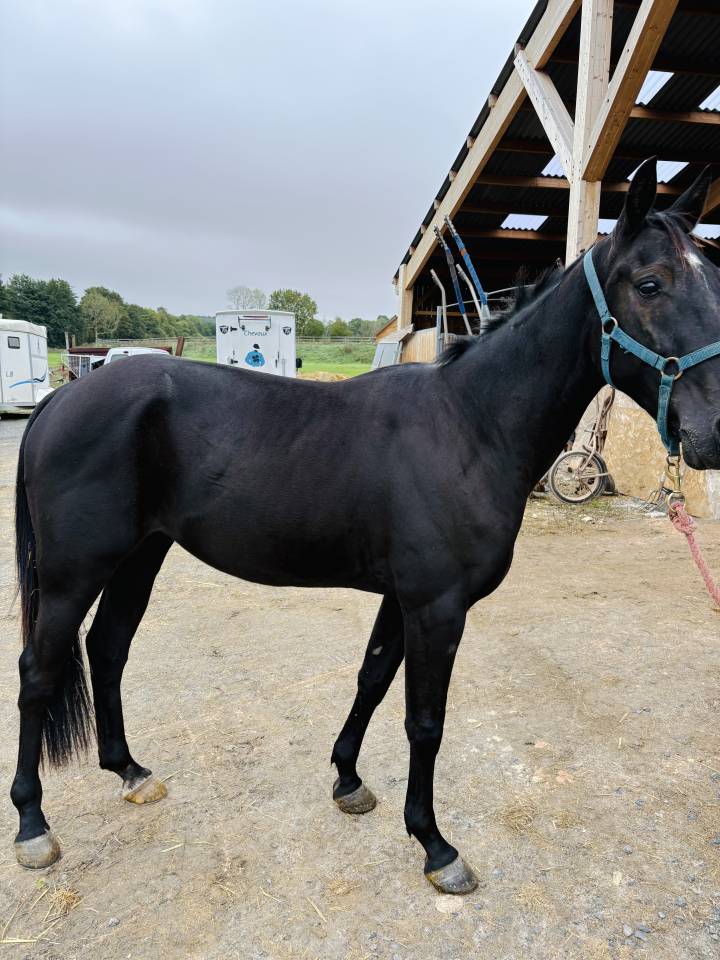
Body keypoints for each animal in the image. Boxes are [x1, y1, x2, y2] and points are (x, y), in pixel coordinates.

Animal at [11, 159, 720, 894]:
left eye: (716, 279)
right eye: (650, 283)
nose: (714, 431)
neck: (469, 425)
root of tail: (65, 395)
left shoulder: (402, 598)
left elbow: (372, 678)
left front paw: (348, 780)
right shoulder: (437, 605)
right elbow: (424, 720)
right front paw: (435, 845)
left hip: (139, 557)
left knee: (108, 650)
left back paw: (130, 772)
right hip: (72, 573)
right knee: (39, 668)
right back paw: (33, 825)